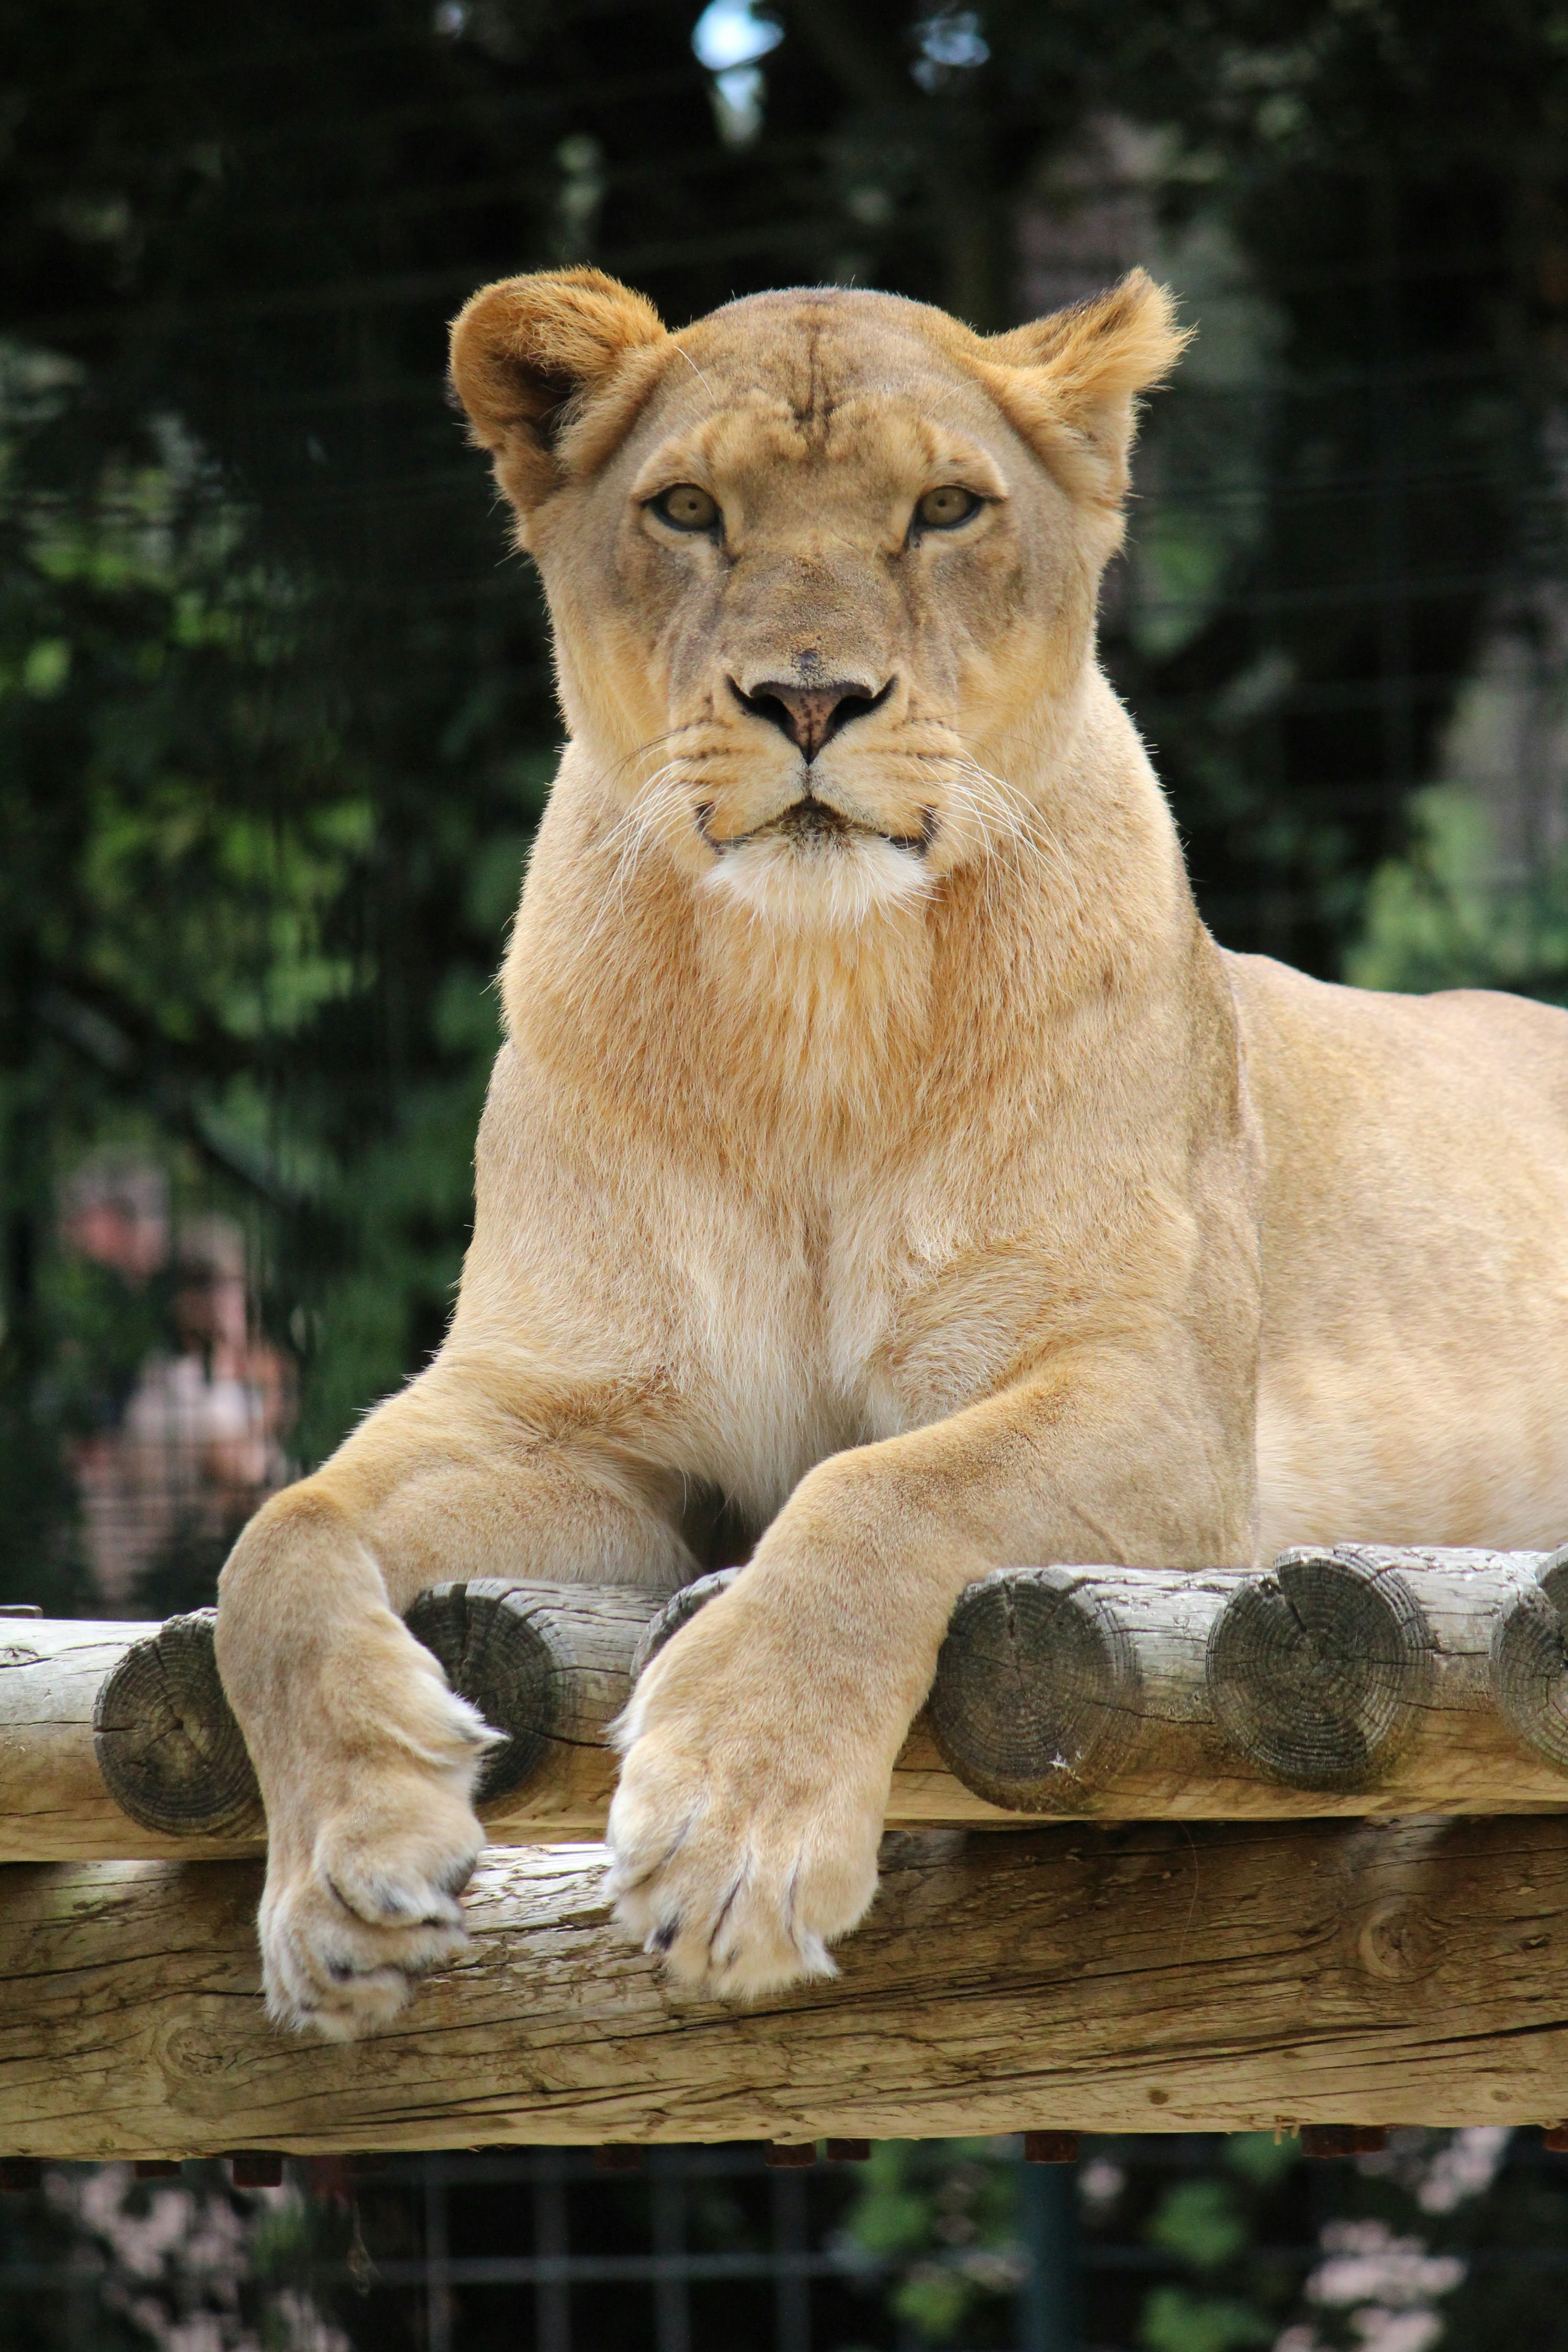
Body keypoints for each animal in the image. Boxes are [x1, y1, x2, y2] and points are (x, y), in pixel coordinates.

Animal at [214, 264, 1568, 2040]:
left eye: (942, 510)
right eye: (689, 510)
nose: (809, 699)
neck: (814, 1002)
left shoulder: (1155, 1408)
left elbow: (878, 1491)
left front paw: (733, 1831)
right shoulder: (558, 1412)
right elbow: (277, 1543)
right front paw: (343, 1871)